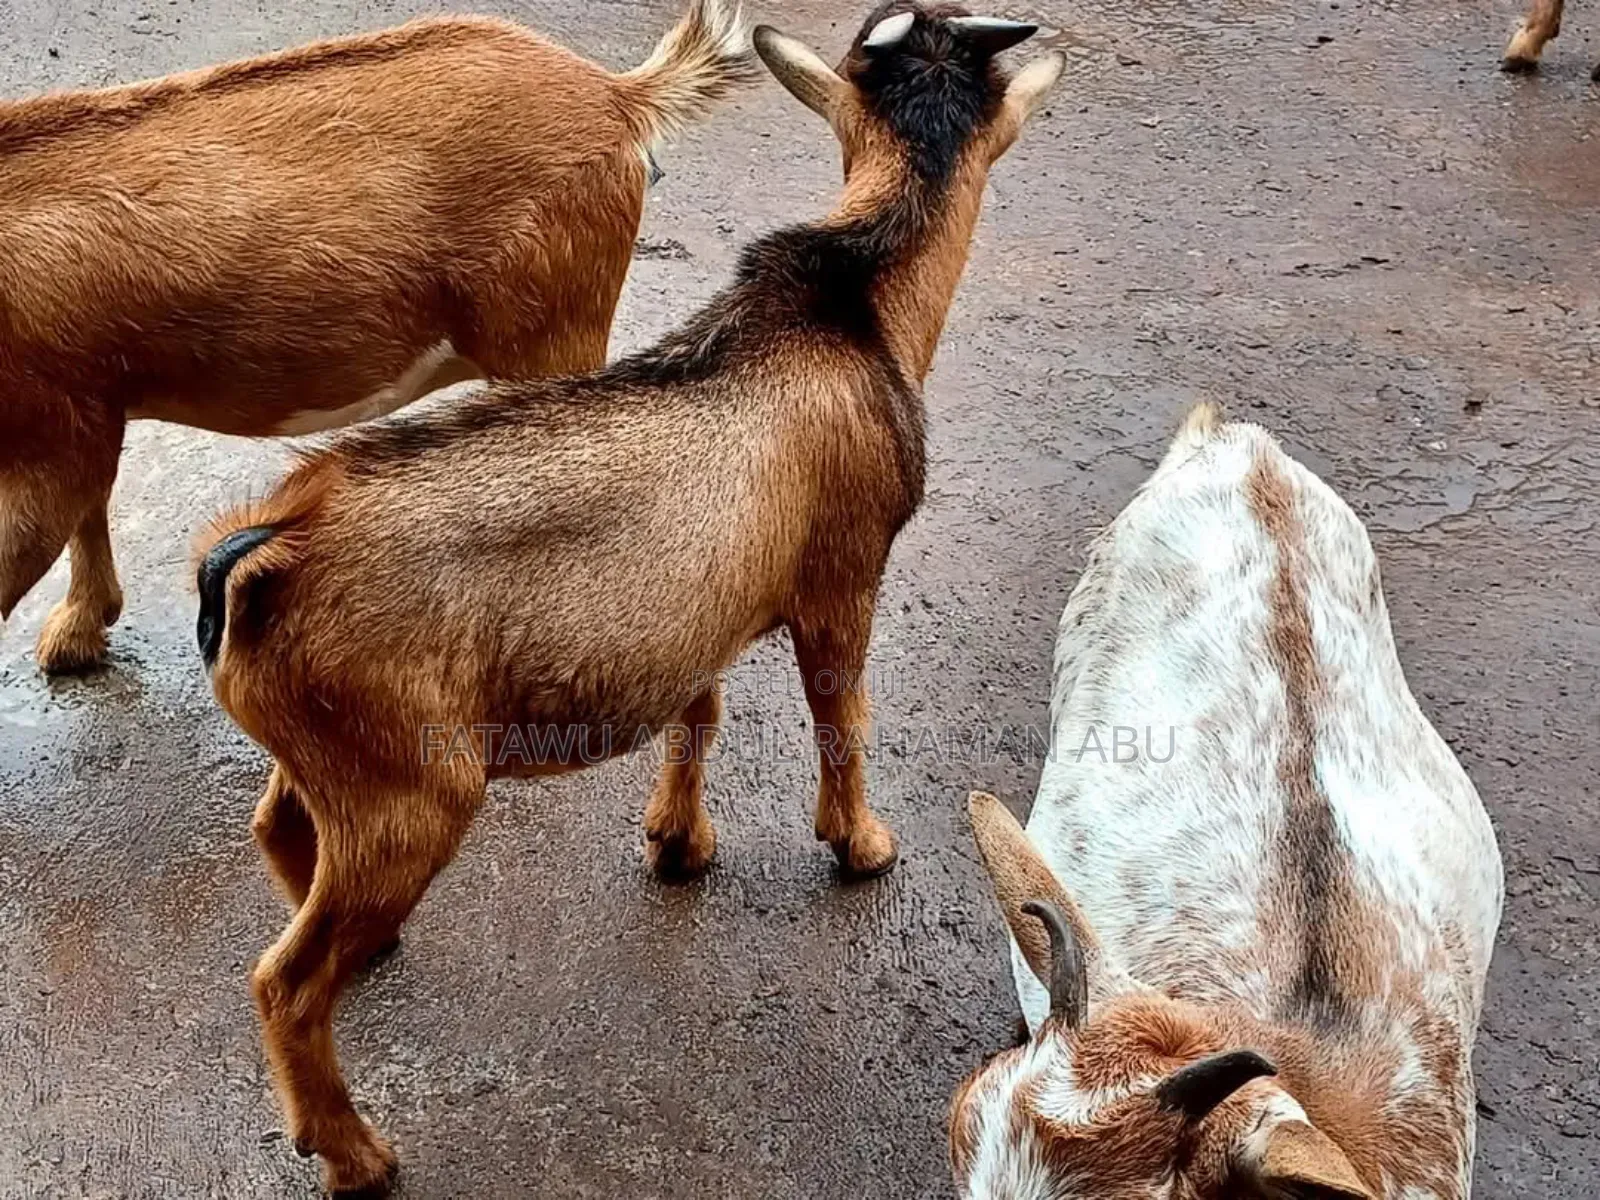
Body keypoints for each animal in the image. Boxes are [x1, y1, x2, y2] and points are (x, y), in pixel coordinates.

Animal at [0, 1, 753, 675]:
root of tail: (620, 97)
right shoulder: (87, 404)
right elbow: (90, 503)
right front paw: (77, 636)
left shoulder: (46, 439)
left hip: (553, 333)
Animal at [192, 4, 1065, 1193]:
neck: (849, 314)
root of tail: (267, 548)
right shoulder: (844, 574)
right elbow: (841, 713)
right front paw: (861, 845)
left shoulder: (697, 613)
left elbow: (700, 709)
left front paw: (677, 845)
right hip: (414, 786)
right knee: (281, 982)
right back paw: (356, 1151)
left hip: (339, 756)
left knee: (281, 828)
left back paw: (374, 962)